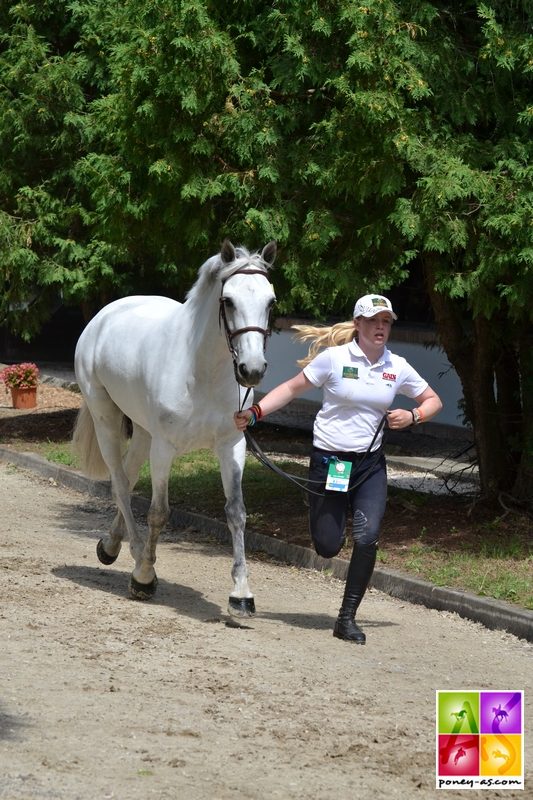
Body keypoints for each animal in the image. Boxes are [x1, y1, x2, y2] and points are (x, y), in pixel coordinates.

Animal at [72, 241, 276, 616]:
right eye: (229, 301)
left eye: (270, 302)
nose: (252, 370)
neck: (202, 372)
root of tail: (104, 315)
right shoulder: (165, 448)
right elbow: (158, 512)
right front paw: (143, 579)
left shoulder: (231, 445)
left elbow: (236, 513)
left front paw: (241, 593)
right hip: (108, 421)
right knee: (120, 485)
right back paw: (138, 557)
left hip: (143, 432)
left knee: (128, 478)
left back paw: (112, 546)